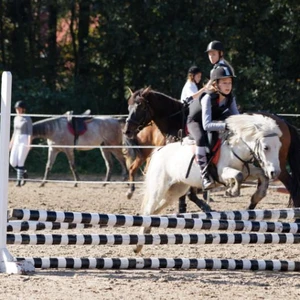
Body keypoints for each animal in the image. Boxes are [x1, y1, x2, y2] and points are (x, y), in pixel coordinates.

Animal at [122, 86, 300, 209]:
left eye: (141, 107)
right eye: (129, 107)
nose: (127, 130)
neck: (177, 122)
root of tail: (284, 122)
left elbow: (190, 193)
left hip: (278, 165)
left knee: (291, 185)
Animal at [135, 114, 282, 253]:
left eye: (279, 146)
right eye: (266, 147)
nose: (275, 172)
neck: (236, 148)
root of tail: (158, 151)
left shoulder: (248, 171)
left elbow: (260, 175)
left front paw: (255, 197)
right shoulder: (222, 172)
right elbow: (238, 176)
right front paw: (232, 191)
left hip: (177, 190)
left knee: (155, 211)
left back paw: (147, 231)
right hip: (159, 188)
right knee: (148, 210)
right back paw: (138, 245)